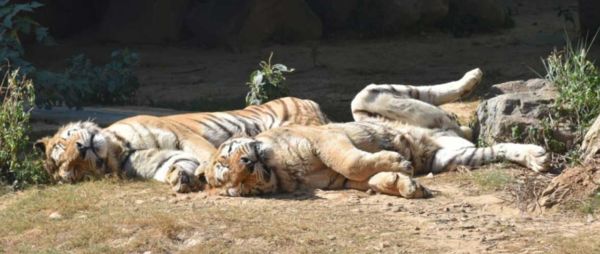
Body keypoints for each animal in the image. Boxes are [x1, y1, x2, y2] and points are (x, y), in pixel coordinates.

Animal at [35, 97, 330, 192]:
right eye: (74, 169)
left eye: (65, 144)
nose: (82, 148)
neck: (118, 151)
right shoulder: (160, 160)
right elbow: (176, 164)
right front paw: (182, 179)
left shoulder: (184, 136)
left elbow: (207, 154)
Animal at [204, 69, 552, 198]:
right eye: (238, 183)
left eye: (228, 156)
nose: (248, 165)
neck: (280, 170)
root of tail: (449, 130)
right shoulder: (341, 181)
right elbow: (369, 177)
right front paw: (405, 182)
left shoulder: (326, 140)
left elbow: (353, 160)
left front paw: (398, 163)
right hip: (450, 156)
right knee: (497, 148)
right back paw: (537, 158)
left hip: (367, 99)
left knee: (420, 91)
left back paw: (472, 78)